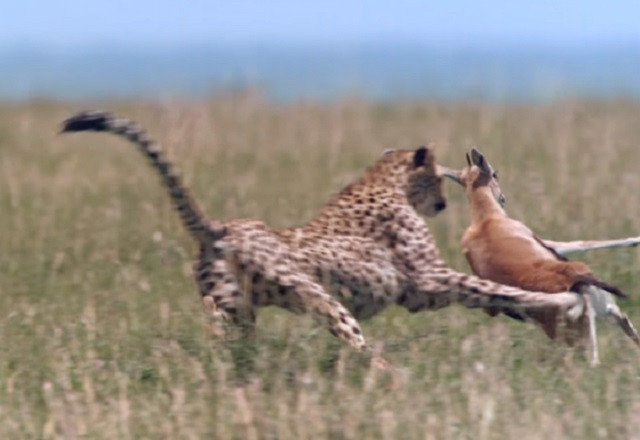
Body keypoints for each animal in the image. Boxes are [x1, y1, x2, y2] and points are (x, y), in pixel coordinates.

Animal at [60, 111, 583, 350]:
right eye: (439, 177)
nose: (442, 200)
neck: (383, 180)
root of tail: (220, 227)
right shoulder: (429, 280)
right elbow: (498, 288)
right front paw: (559, 299)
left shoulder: (421, 292)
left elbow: (492, 293)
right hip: (319, 297)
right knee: (358, 345)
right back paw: (383, 375)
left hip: (235, 309)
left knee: (221, 336)